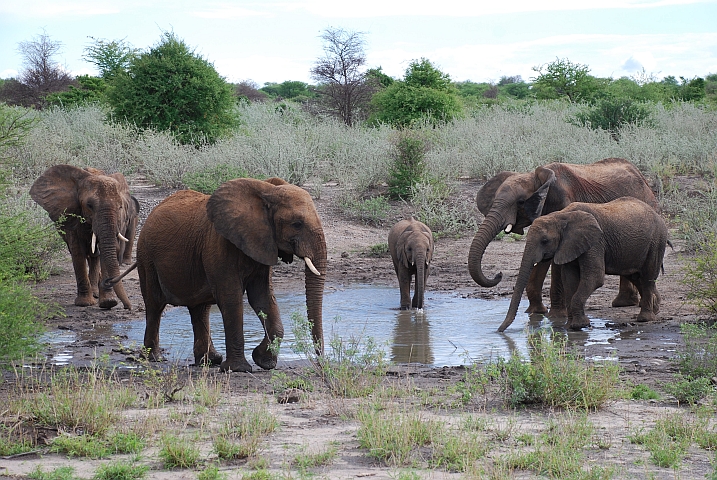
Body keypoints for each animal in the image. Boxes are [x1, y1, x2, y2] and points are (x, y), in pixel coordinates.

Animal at [30, 163, 140, 310]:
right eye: (89, 205)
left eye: (120, 207)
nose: (128, 307)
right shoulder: (73, 215)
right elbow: (78, 252)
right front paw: (84, 303)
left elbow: (103, 251)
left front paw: (108, 302)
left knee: (94, 256)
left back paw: (95, 293)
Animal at [136, 178, 326, 374]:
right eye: (297, 224)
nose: (321, 362)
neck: (267, 191)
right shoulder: (220, 245)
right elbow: (230, 298)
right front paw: (239, 369)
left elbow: (262, 297)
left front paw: (263, 362)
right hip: (146, 257)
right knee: (155, 304)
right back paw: (153, 358)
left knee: (199, 309)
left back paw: (209, 361)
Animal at [468, 156, 656, 316]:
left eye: (520, 202)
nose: (498, 275)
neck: (539, 180)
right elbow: (541, 257)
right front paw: (535, 313)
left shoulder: (563, 206)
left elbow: (555, 261)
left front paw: (556, 316)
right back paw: (625, 303)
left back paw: (628, 304)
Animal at [498, 197, 672, 332]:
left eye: (545, 241)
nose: (499, 330)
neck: (561, 216)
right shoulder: (569, 245)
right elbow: (569, 280)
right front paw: (571, 326)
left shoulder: (595, 241)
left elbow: (594, 278)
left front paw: (580, 325)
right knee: (635, 276)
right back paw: (656, 309)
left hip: (657, 241)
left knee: (648, 277)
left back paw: (645, 318)